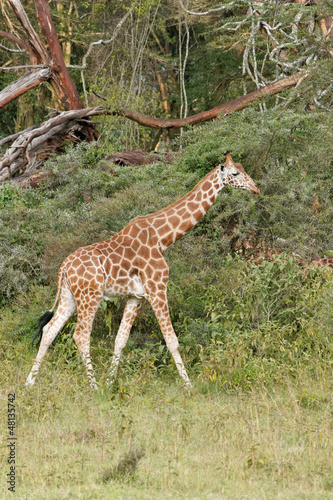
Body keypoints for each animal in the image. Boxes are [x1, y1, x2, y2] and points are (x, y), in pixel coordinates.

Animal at [26, 152, 260, 390]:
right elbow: (172, 340)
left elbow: (120, 341)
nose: (256, 189)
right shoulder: (157, 289)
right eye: (235, 173)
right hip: (90, 296)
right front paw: (188, 387)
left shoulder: (135, 297)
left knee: (49, 330)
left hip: (69, 296)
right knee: (80, 335)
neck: (162, 238)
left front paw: (111, 383)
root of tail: (63, 267)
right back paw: (93, 387)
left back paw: (30, 383)